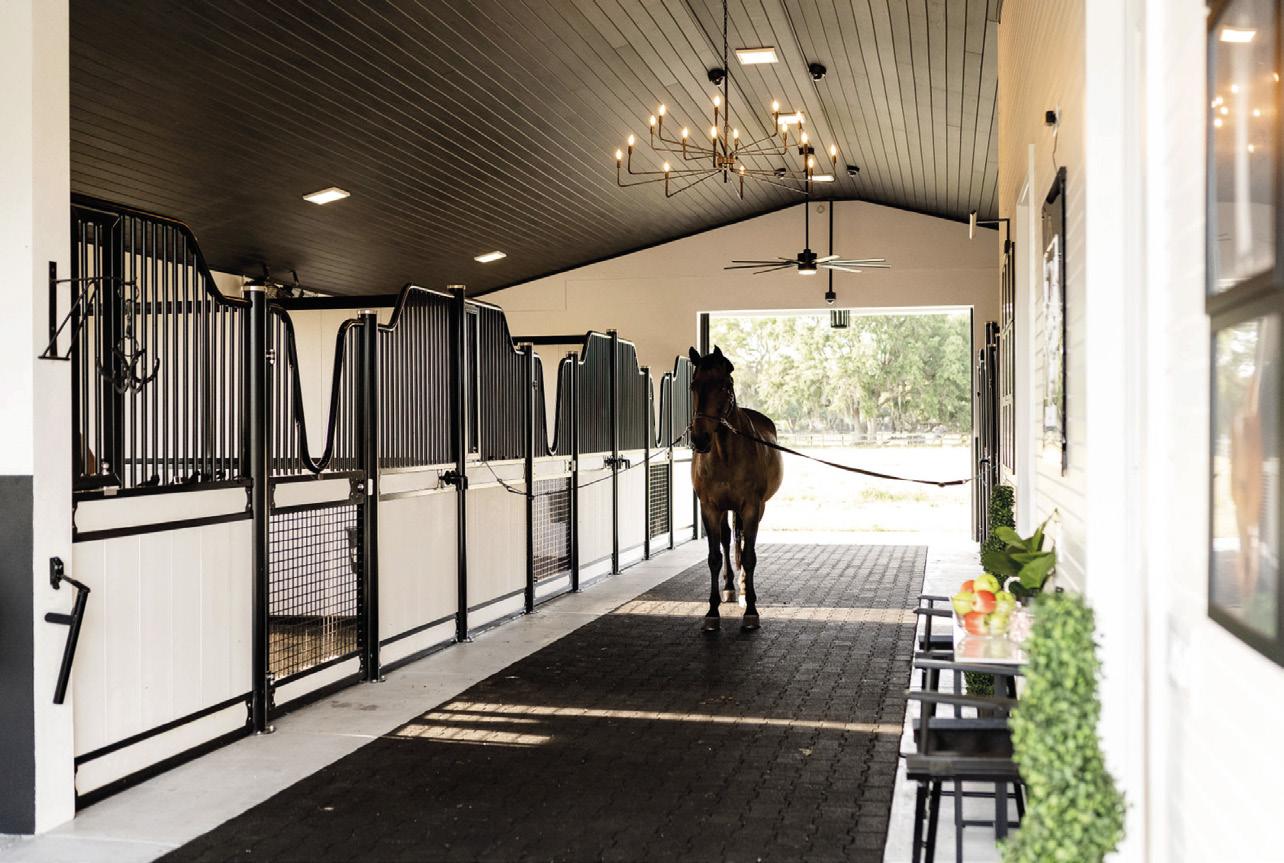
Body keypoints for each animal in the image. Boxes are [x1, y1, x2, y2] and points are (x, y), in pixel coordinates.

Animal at [688, 346, 784, 632]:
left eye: (724, 385)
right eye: (694, 385)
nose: (700, 439)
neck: (725, 454)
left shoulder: (752, 507)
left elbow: (749, 556)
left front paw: (751, 610)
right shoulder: (709, 508)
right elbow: (714, 556)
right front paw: (712, 612)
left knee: (742, 543)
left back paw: (741, 590)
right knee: (728, 538)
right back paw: (730, 587)